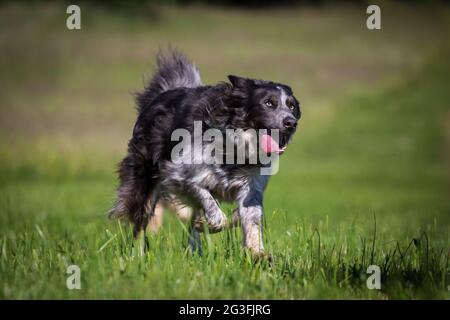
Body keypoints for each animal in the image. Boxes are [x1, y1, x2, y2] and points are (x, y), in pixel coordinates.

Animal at [108, 50, 302, 260]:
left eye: (291, 106)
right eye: (268, 103)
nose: (291, 122)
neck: (234, 145)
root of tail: (162, 94)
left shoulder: (252, 188)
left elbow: (250, 220)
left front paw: (258, 253)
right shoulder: (179, 175)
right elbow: (213, 209)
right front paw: (210, 224)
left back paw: (195, 250)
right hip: (145, 181)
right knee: (141, 221)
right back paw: (137, 255)